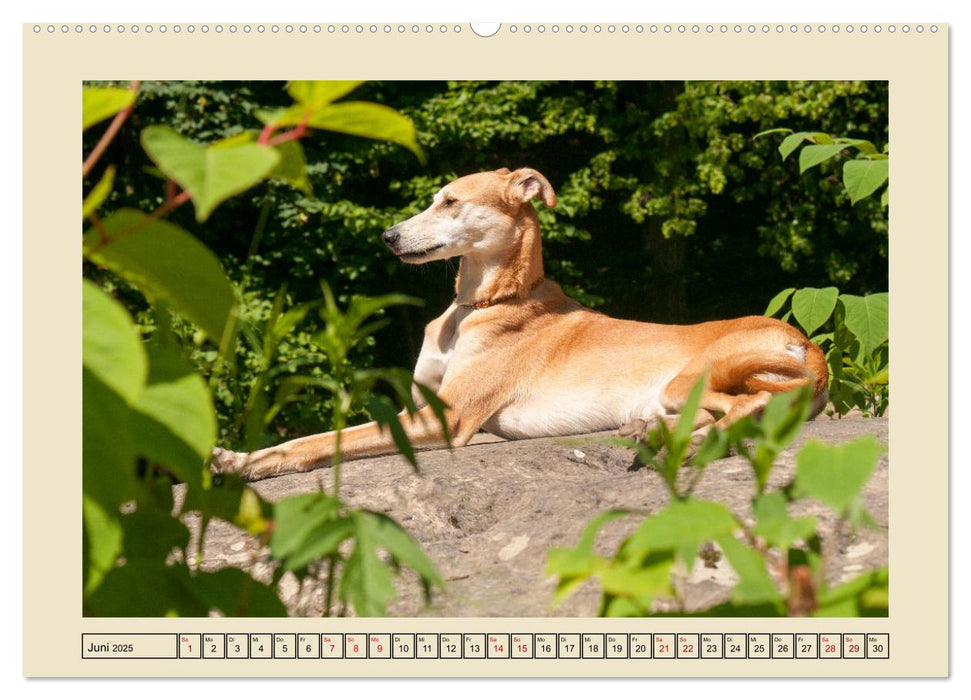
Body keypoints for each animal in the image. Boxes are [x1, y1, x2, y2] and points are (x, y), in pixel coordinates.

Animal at [209, 168, 824, 482]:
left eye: (450, 202)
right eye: (434, 199)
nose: (387, 236)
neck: (481, 305)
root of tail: (806, 344)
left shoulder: (446, 419)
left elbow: (320, 440)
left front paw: (246, 464)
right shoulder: (422, 406)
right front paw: (237, 457)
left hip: (692, 376)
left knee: (748, 407)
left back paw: (686, 442)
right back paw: (651, 433)